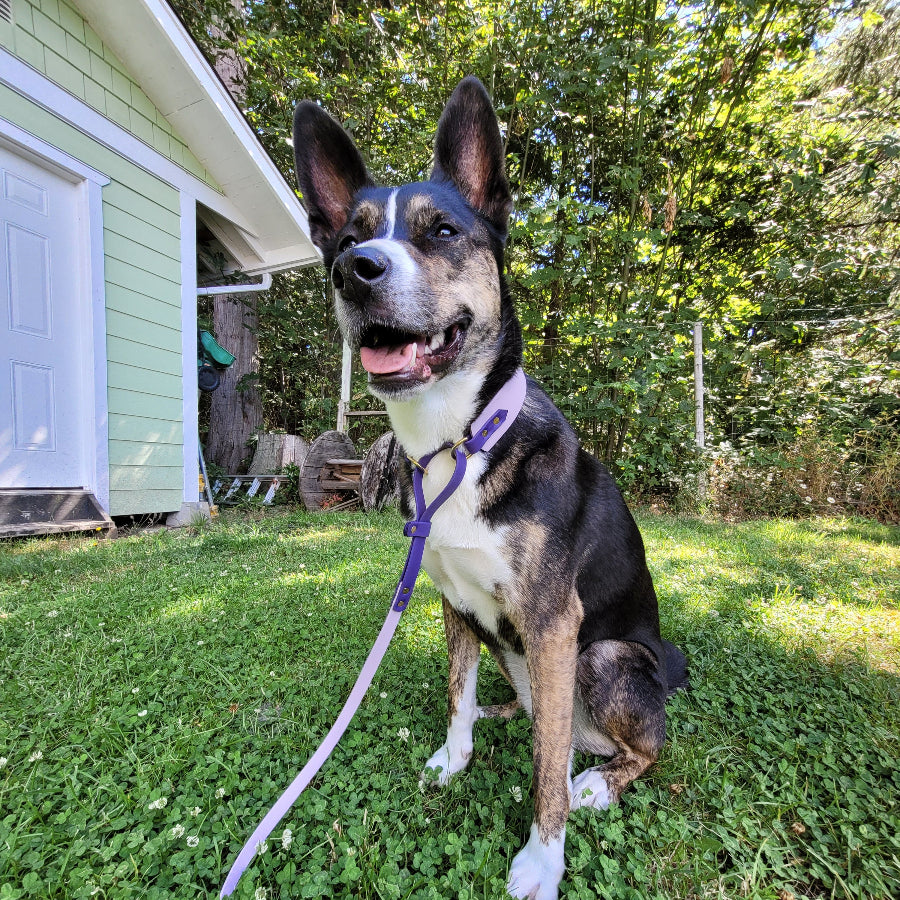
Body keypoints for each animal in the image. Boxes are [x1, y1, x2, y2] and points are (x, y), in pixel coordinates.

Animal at [292, 75, 684, 900]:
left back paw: (599, 780)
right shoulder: (453, 601)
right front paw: (458, 755)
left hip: (605, 658)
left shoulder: (554, 621)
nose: (355, 271)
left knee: (633, 748)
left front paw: (543, 857)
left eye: (442, 231)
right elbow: (458, 698)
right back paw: (512, 715)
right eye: (345, 241)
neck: (457, 441)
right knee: (542, 718)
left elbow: (545, 773)